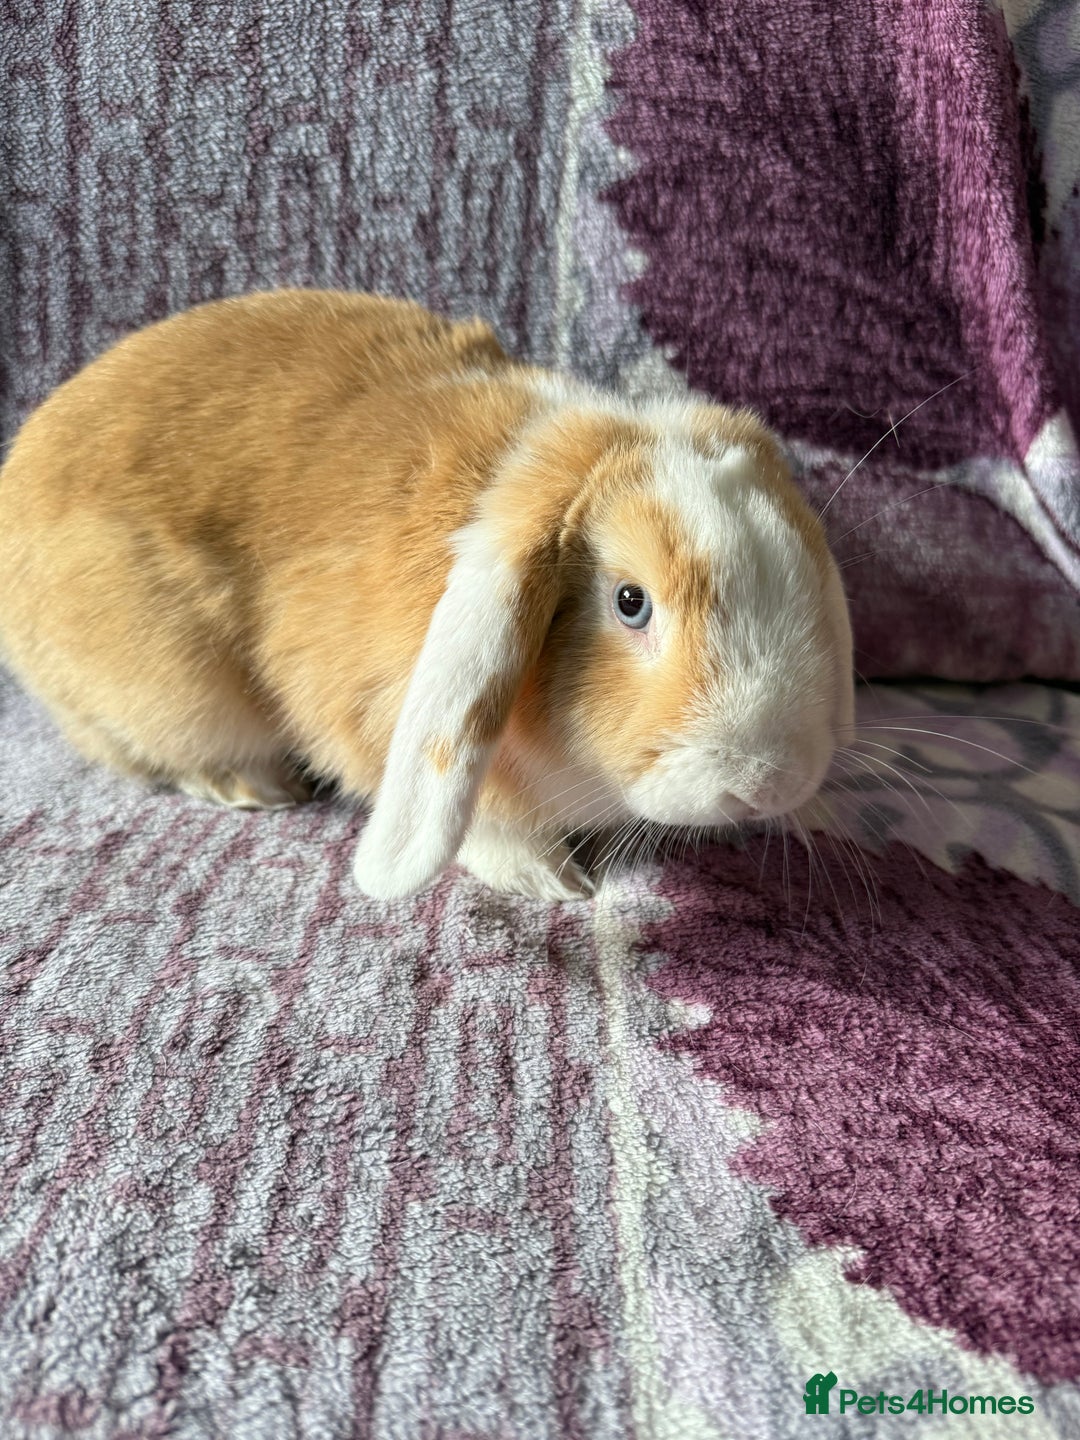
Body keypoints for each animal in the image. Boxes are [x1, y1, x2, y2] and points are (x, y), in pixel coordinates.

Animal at [0, 288, 854, 900]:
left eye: (801, 562)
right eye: (630, 601)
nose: (765, 781)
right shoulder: (366, 713)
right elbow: (473, 821)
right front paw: (553, 882)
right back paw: (254, 786)